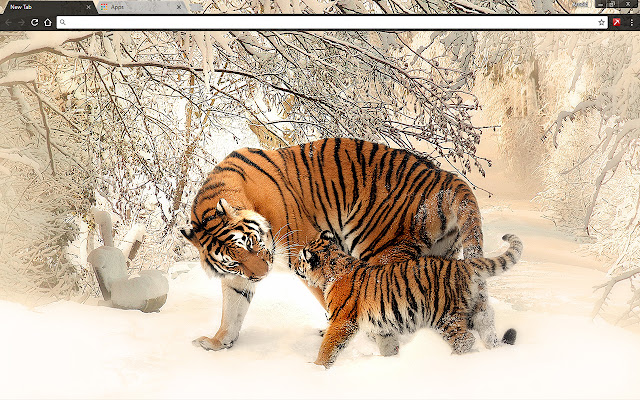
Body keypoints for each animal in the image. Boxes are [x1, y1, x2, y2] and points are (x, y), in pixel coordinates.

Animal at [180, 137, 489, 352]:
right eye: (234, 261)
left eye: (252, 243)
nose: (262, 275)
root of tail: (446, 176)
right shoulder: (238, 277)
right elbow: (232, 310)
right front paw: (218, 342)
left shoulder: (305, 250)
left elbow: (330, 296)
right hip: (441, 256)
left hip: (379, 249)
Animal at [295, 231, 523, 368]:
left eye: (300, 259)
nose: (295, 266)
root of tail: (463, 264)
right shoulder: (382, 326)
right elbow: (388, 346)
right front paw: (391, 362)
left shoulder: (342, 322)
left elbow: (328, 347)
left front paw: (317, 369)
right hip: (479, 311)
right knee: (488, 333)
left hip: (445, 316)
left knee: (465, 340)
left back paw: (453, 361)